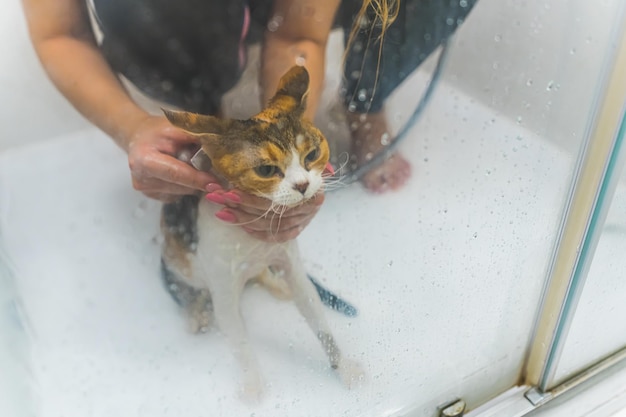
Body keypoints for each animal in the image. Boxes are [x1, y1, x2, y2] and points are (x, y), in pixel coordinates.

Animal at [161, 66, 364, 402]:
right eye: (267, 170)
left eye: (311, 154)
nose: (302, 185)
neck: (253, 240)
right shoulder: (224, 292)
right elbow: (241, 343)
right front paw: (254, 386)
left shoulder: (291, 264)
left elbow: (319, 320)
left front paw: (344, 368)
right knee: (185, 292)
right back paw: (195, 314)